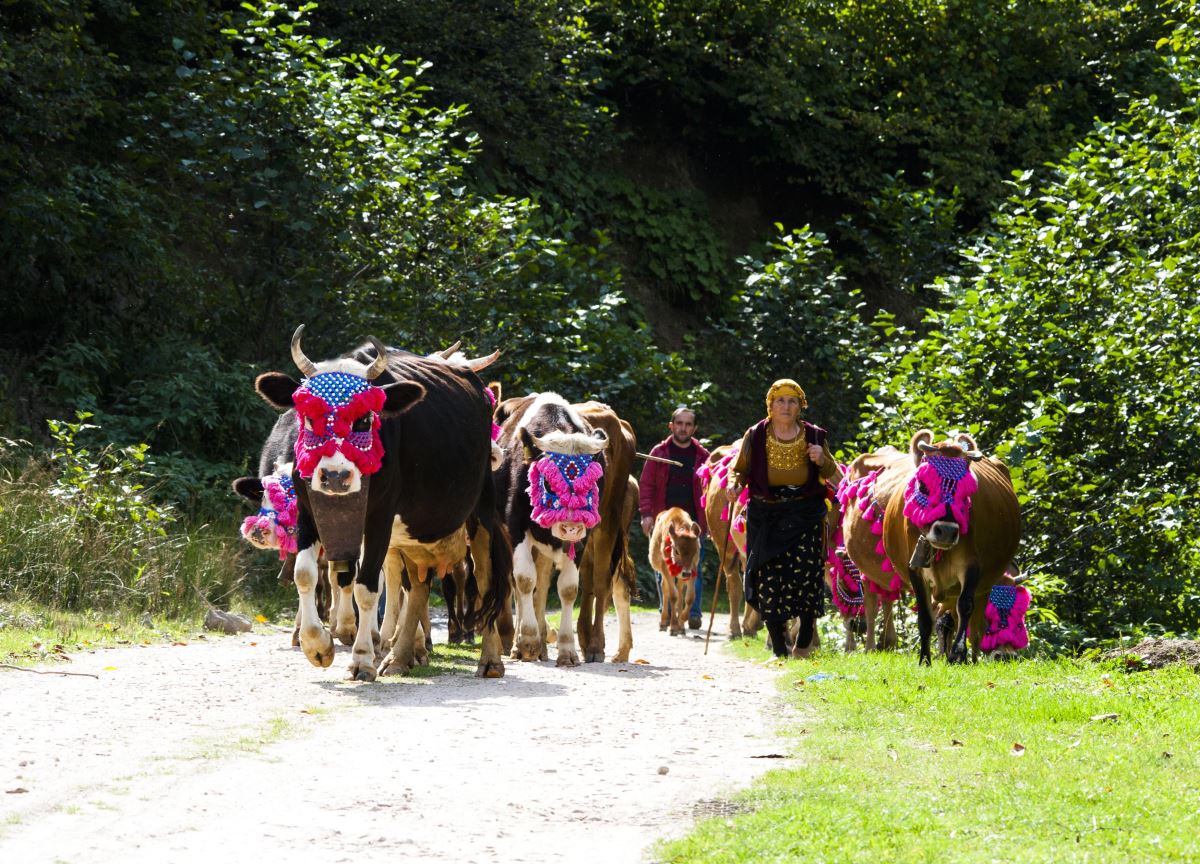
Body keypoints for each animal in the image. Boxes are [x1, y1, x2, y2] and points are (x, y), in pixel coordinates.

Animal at [253, 326, 511, 681]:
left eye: (365, 420)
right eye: (310, 417)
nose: (335, 476)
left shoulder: (379, 517)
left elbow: (366, 586)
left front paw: (362, 658)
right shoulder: (308, 512)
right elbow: (306, 574)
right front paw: (318, 645)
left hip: (480, 514)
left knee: (485, 582)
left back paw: (489, 659)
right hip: (417, 529)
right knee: (417, 586)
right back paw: (400, 656)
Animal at [494, 396, 609, 667]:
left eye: (591, 482)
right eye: (548, 482)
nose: (571, 527)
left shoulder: (582, 539)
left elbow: (567, 589)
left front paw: (567, 650)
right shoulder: (516, 527)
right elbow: (525, 580)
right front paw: (527, 641)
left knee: (543, 583)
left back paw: (543, 647)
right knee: (520, 585)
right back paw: (520, 646)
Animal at [883, 429, 1022, 667]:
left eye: (965, 493)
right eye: (923, 486)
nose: (946, 531)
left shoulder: (972, 566)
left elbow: (965, 607)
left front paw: (957, 654)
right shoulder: (915, 569)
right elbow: (925, 617)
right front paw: (925, 659)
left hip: (984, 586)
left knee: (974, 626)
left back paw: (969, 657)